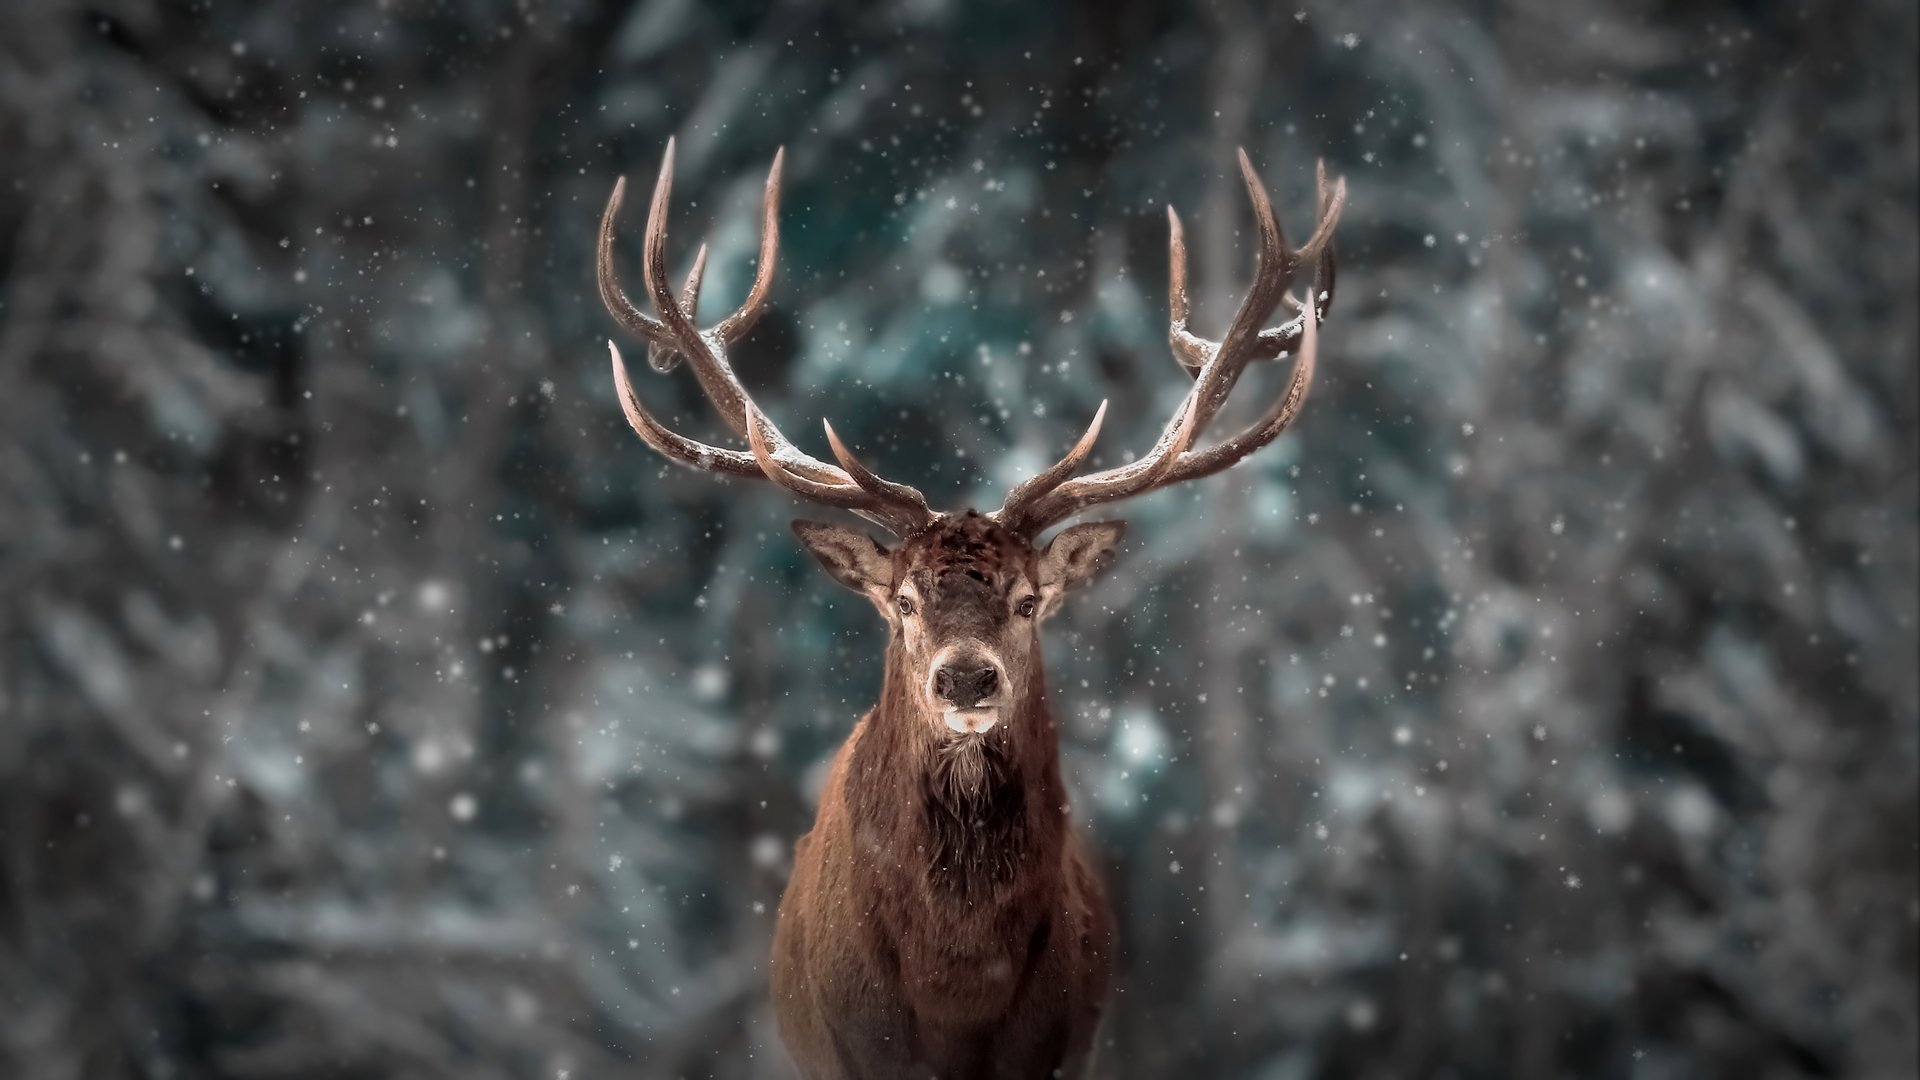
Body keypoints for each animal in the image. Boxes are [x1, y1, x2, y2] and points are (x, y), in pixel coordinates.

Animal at [596, 138, 1344, 1079]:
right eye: (904, 600)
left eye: (1028, 601)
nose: (964, 680)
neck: (956, 989)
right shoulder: (854, 1051)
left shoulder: (1060, 1048)